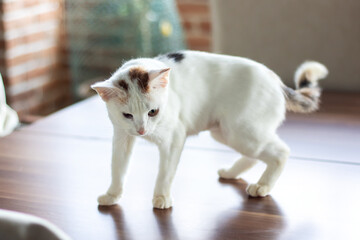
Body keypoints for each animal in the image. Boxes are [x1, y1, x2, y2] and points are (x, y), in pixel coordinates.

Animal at [91, 50, 328, 208]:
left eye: (153, 112)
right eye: (127, 115)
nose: (141, 131)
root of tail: (276, 81)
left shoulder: (174, 138)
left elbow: (165, 173)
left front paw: (161, 197)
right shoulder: (121, 137)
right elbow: (117, 168)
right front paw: (112, 195)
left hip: (242, 133)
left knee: (281, 152)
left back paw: (262, 186)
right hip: (225, 132)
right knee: (256, 156)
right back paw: (231, 173)